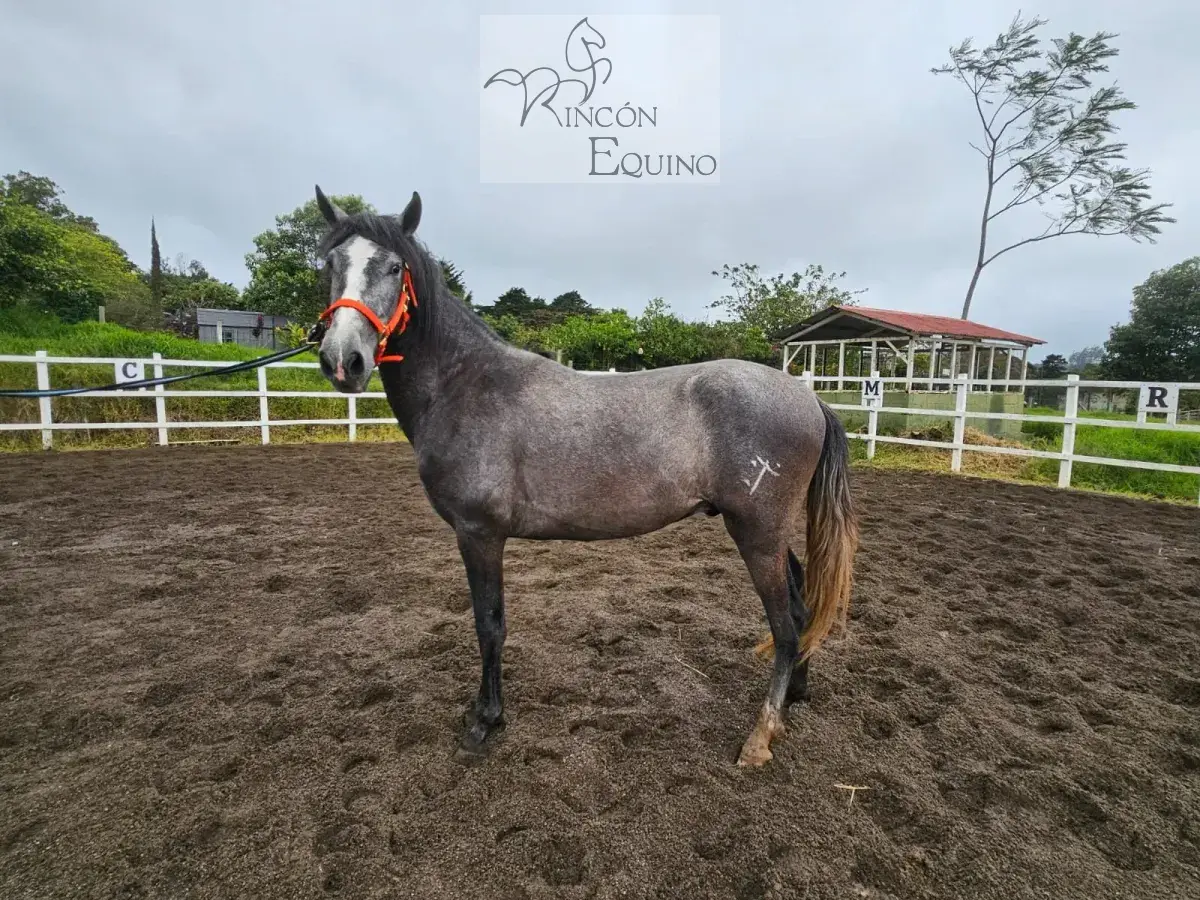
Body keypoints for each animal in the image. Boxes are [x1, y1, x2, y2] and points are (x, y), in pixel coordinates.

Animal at [309, 185, 859, 767]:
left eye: (394, 267)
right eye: (331, 264)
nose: (343, 360)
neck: (465, 384)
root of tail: (808, 397)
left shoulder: (478, 533)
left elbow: (489, 624)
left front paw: (485, 721)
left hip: (757, 532)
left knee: (784, 625)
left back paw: (760, 736)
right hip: (765, 531)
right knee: (801, 607)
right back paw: (795, 694)